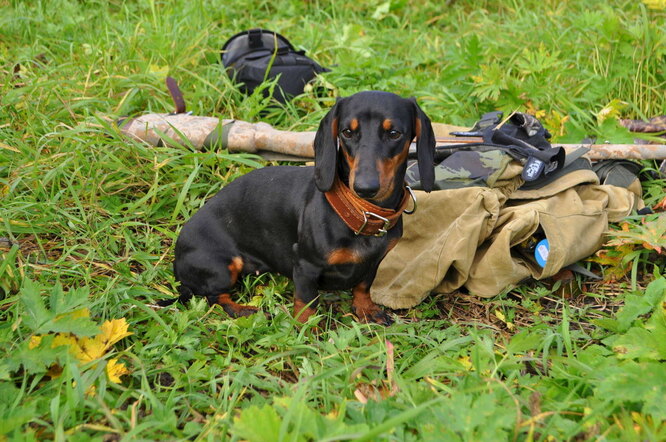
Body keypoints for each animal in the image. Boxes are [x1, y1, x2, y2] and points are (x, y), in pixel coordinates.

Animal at [169, 90, 434, 324]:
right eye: (347, 132)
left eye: (394, 133)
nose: (365, 188)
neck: (362, 211)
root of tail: (177, 258)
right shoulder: (305, 266)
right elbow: (306, 301)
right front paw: (307, 329)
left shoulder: (374, 262)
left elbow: (362, 286)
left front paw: (366, 310)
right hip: (222, 267)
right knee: (215, 296)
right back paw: (245, 310)